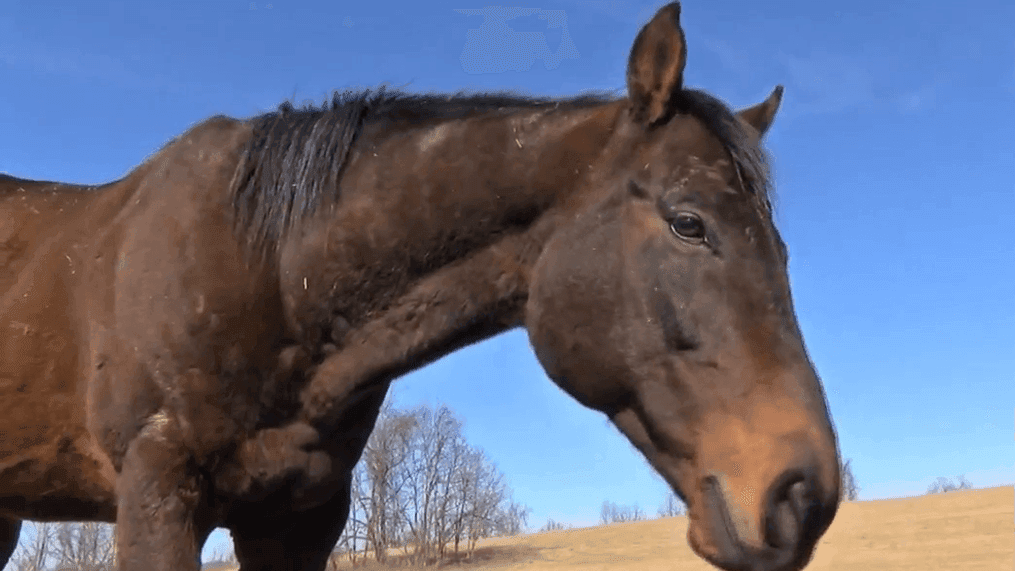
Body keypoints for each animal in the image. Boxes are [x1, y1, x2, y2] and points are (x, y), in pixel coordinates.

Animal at [0, 4, 840, 571]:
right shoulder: (156, 499)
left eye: (783, 247)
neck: (267, 270)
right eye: (688, 222)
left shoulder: (297, 519)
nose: (804, 493)